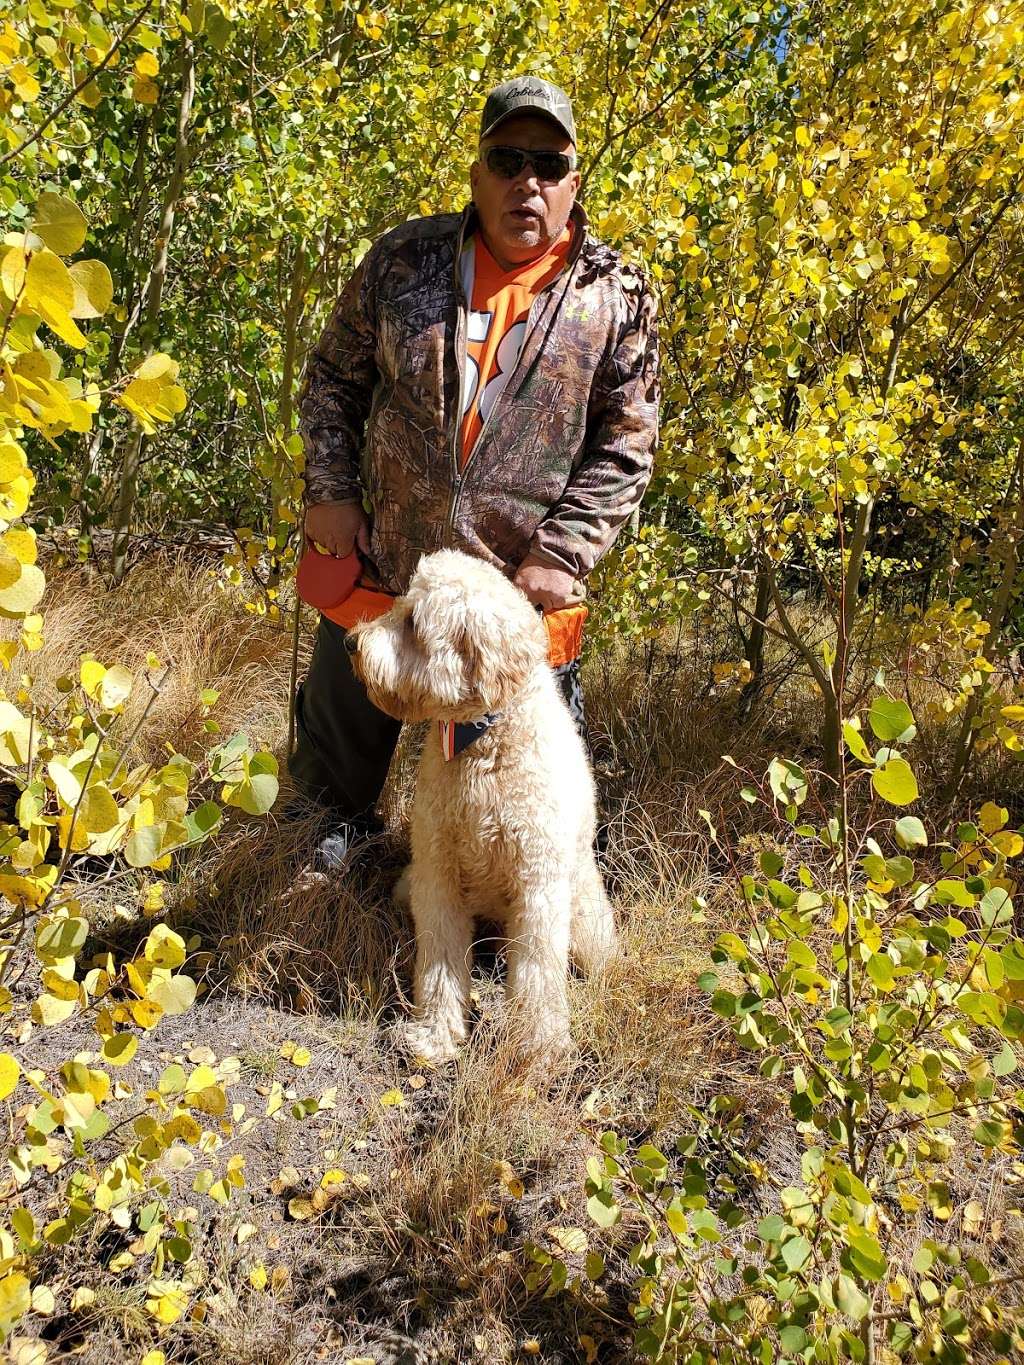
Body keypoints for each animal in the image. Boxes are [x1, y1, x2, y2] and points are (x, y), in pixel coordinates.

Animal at [345, 548, 617, 1059]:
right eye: (399, 603)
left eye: (413, 621)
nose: (351, 642)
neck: (483, 743)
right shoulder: (438, 873)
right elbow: (439, 964)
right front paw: (434, 1035)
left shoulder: (539, 884)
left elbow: (537, 973)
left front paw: (539, 1046)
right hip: (411, 886)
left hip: (582, 904)